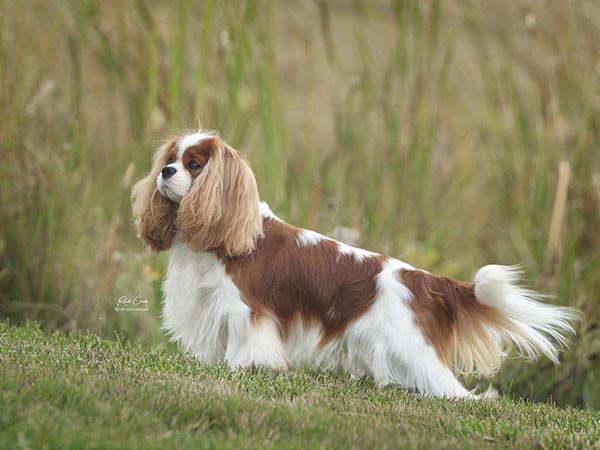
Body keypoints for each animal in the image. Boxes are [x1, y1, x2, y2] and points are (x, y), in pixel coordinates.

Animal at [131, 130, 576, 398]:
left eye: (194, 165)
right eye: (171, 158)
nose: (165, 172)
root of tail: (423, 279)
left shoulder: (245, 313)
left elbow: (243, 349)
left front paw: (237, 371)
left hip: (413, 347)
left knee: (454, 390)